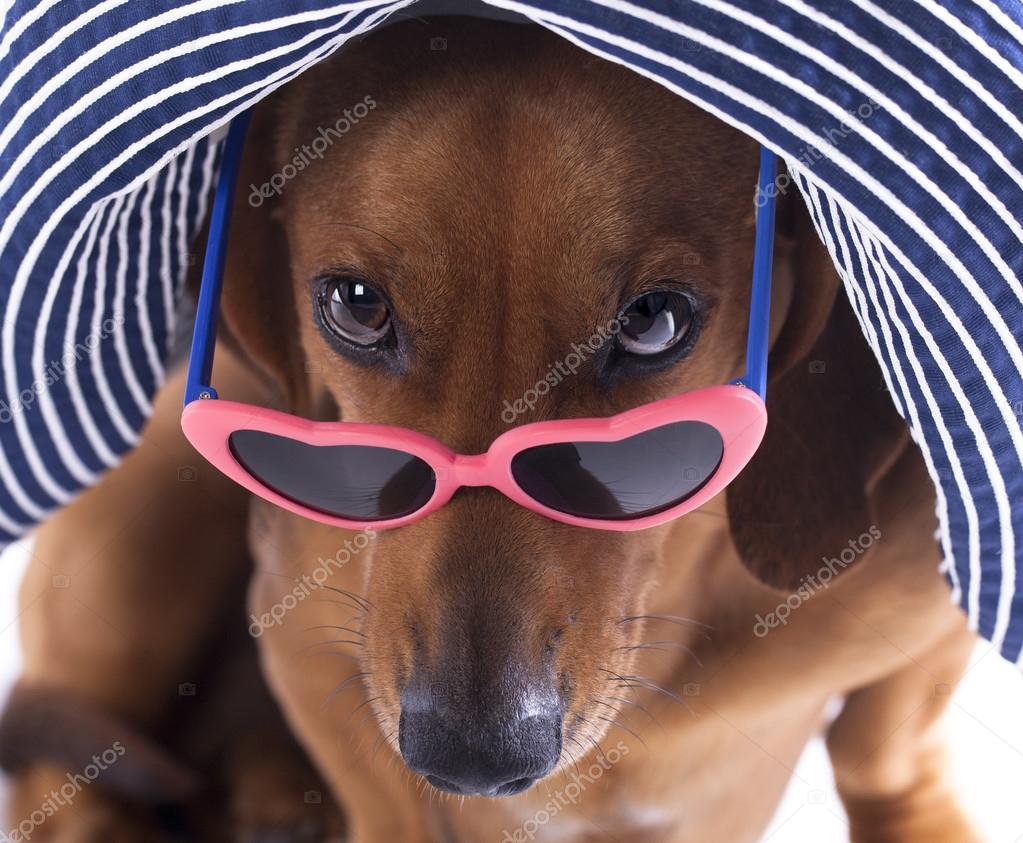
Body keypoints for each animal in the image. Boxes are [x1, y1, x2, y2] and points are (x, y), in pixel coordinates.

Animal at [1, 14, 973, 843]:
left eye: (654, 319)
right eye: (355, 304)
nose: (471, 758)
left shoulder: (927, 622)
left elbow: (881, 747)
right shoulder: (305, 639)